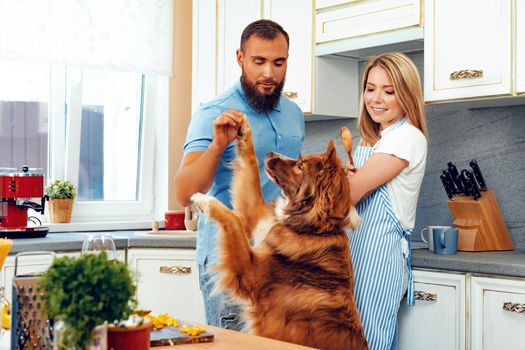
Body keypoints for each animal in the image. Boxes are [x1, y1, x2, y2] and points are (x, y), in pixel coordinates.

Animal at [190, 119, 366, 348]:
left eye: (300, 166)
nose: (270, 153)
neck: (311, 230)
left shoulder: (250, 271)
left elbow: (232, 218)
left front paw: (203, 199)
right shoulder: (258, 220)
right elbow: (251, 167)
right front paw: (242, 128)